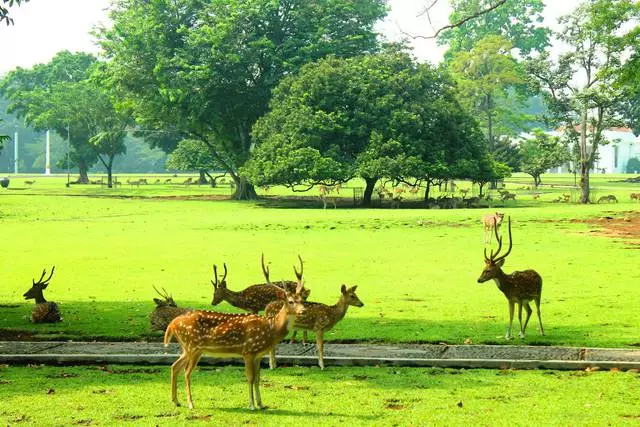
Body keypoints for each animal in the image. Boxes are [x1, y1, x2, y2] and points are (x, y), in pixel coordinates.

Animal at [164, 260, 306, 412]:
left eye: (302, 300)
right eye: (291, 301)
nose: (303, 310)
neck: (271, 328)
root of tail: (172, 323)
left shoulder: (259, 354)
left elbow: (258, 378)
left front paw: (261, 404)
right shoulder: (248, 351)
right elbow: (250, 377)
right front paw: (251, 405)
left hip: (188, 348)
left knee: (174, 366)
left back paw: (176, 401)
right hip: (192, 346)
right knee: (186, 371)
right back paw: (190, 403)